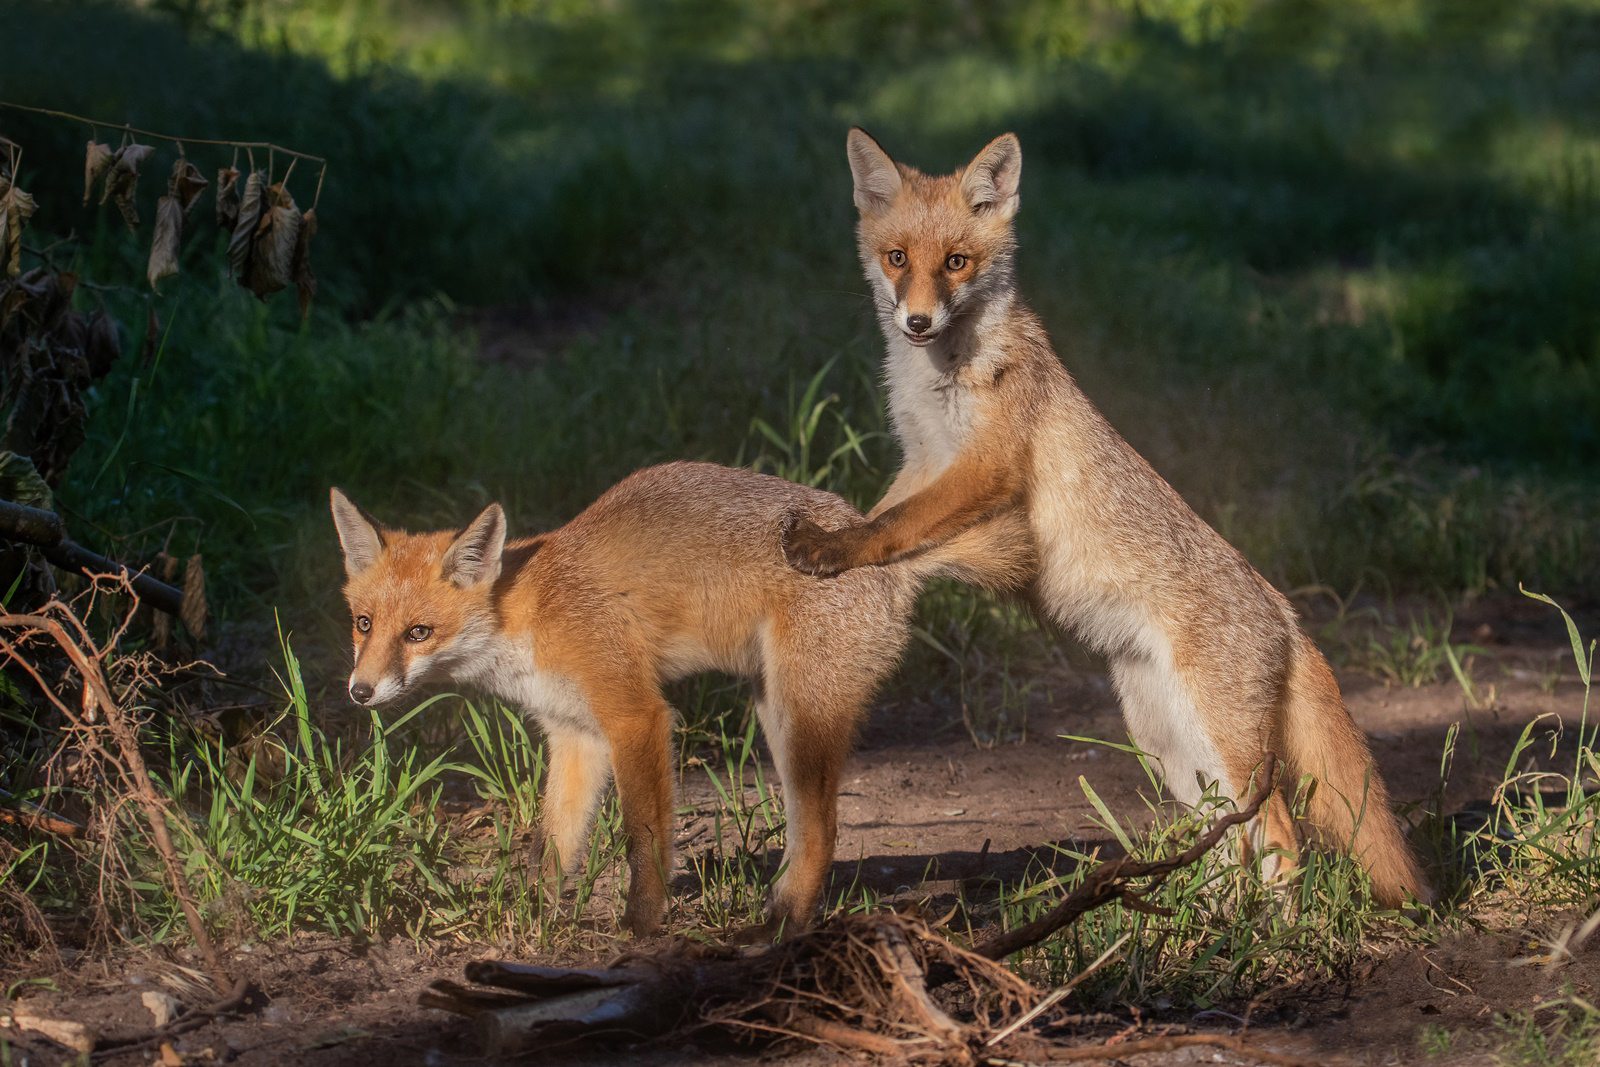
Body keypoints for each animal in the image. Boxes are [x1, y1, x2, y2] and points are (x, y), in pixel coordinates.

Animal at [331, 460, 1030, 934]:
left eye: (418, 633)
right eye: (364, 625)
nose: (359, 692)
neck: (526, 613)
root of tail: (875, 544)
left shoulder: (635, 714)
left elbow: (644, 839)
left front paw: (639, 926)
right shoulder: (575, 733)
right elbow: (552, 844)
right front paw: (531, 918)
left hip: (802, 714)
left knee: (826, 832)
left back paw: (780, 925)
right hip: (774, 715)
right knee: (806, 830)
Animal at [780, 127, 1433, 908]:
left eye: (957, 263)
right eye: (897, 258)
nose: (916, 321)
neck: (938, 383)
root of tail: (1284, 609)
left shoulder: (984, 468)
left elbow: (890, 529)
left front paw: (832, 548)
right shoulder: (922, 460)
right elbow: (887, 513)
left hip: (1224, 743)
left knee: (1279, 834)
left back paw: (1273, 929)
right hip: (1171, 746)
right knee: (1230, 840)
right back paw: (1203, 919)